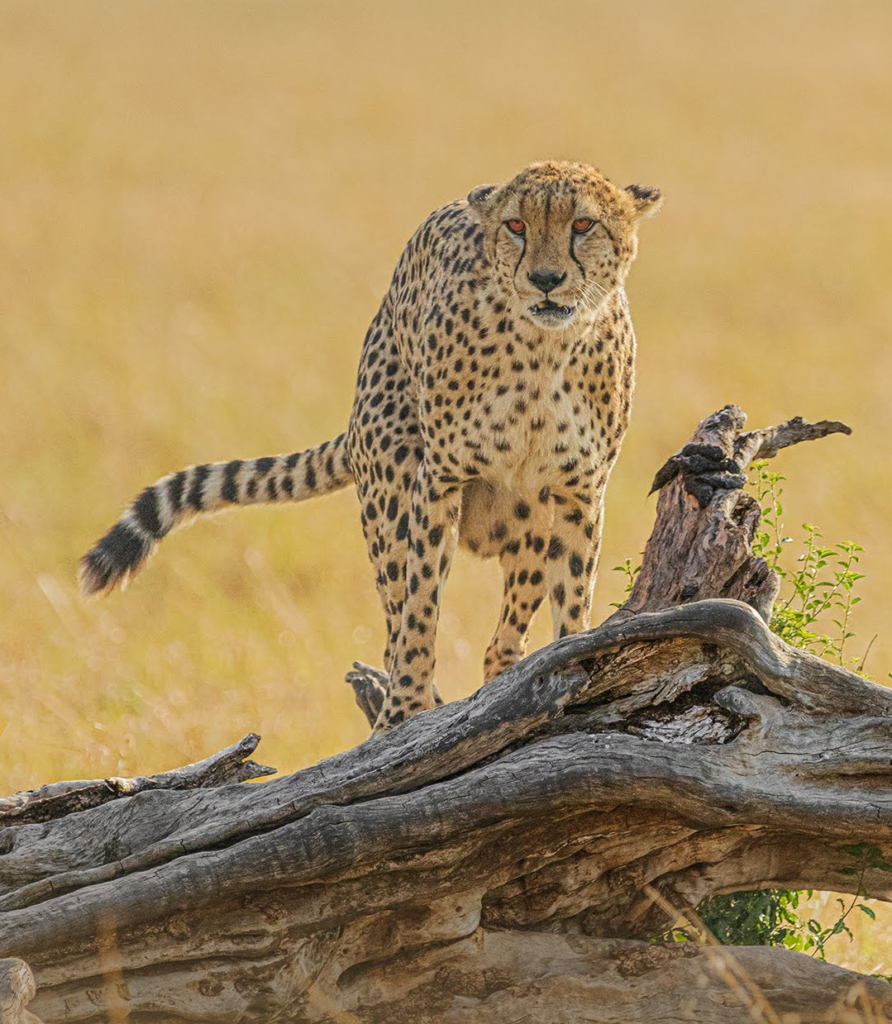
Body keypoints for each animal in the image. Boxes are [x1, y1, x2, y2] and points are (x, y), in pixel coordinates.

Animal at [80, 160, 662, 734]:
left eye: (583, 225)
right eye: (516, 225)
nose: (545, 280)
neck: (544, 350)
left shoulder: (579, 491)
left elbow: (573, 596)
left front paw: (575, 665)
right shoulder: (437, 481)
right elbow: (419, 608)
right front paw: (404, 712)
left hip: (527, 518)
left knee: (507, 625)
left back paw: (505, 679)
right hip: (392, 488)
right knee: (395, 616)